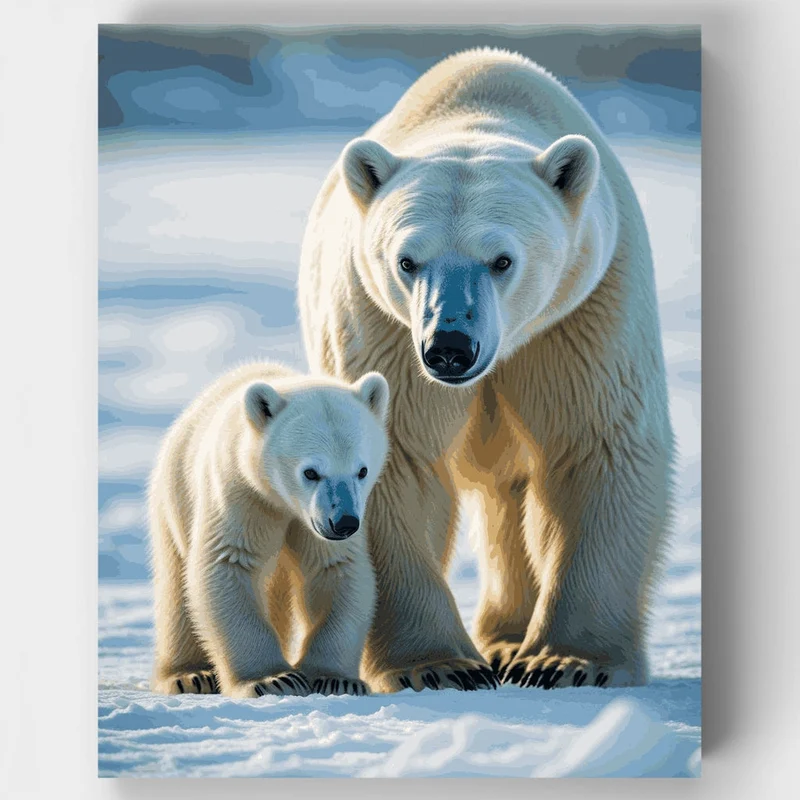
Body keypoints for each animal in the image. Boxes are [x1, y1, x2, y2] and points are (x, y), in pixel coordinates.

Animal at [148, 362, 390, 698]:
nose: (343, 523)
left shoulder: (316, 526)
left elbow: (336, 569)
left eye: (362, 470)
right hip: (174, 498)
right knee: (175, 588)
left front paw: (335, 679)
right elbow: (229, 563)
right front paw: (272, 679)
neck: (282, 501)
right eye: (310, 472)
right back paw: (189, 675)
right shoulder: (242, 493)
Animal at [298, 48, 674, 692]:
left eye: (502, 260)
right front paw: (438, 665)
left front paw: (567, 662)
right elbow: (395, 458)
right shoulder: (381, 327)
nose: (450, 346)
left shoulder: (581, 313)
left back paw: (507, 641)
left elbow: (596, 443)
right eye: (407, 260)